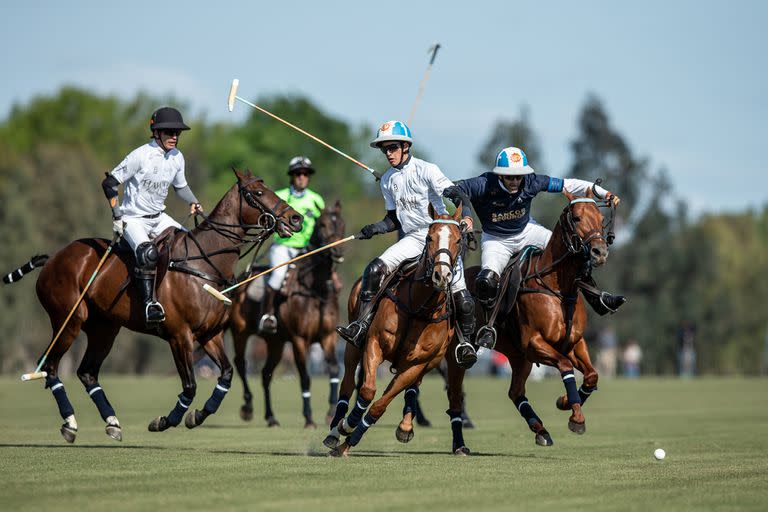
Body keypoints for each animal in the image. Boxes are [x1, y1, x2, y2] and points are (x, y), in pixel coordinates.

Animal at [8, 170, 304, 442]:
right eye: (258, 193)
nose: (296, 218)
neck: (205, 264)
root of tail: (52, 259)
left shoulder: (210, 334)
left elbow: (226, 375)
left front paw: (197, 416)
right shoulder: (180, 336)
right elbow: (189, 386)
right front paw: (164, 421)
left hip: (104, 328)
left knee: (87, 372)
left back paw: (112, 423)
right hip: (69, 319)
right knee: (50, 366)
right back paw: (70, 423)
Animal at [230, 200, 346, 428]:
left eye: (342, 225)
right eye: (323, 225)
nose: (336, 251)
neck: (314, 289)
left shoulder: (328, 336)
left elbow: (334, 370)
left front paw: (330, 412)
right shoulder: (299, 340)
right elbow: (305, 377)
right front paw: (309, 418)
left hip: (275, 342)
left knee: (265, 374)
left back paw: (271, 417)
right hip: (240, 332)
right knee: (241, 364)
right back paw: (247, 408)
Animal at [322, 206, 464, 458]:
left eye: (458, 240)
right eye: (429, 238)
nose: (441, 276)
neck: (419, 307)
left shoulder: (417, 364)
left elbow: (379, 406)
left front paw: (348, 442)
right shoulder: (374, 343)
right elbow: (367, 391)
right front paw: (346, 426)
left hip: (432, 360)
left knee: (413, 388)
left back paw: (405, 426)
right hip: (351, 346)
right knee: (347, 384)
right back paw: (334, 430)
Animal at [444, 190, 612, 454]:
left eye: (600, 218)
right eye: (576, 218)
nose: (599, 252)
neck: (557, 287)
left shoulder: (574, 342)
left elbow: (592, 375)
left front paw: (565, 402)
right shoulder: (534, 342)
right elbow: (565, 365)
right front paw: (576, 417)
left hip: (518, 357)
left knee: (515, 392)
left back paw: (541, 430)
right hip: (458, 355)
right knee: (455, 398)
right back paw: (460, 445)